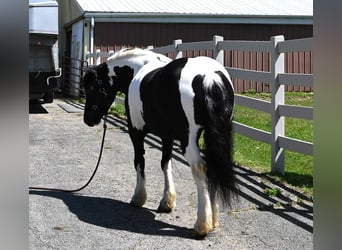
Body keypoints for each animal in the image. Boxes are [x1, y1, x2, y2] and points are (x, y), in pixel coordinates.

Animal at [83, 47, 238, 237]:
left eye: (92, 88)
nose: (88, 119)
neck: (137, 69)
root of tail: (208, 76)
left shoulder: (136, 132)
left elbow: (139, 162)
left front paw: (138, 198)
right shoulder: (167, 136)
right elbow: (165, 163)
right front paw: (167, 202)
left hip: (188, 140)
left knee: (200, 168)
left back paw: (201, 226)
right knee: (212, 167)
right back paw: (213, 220)